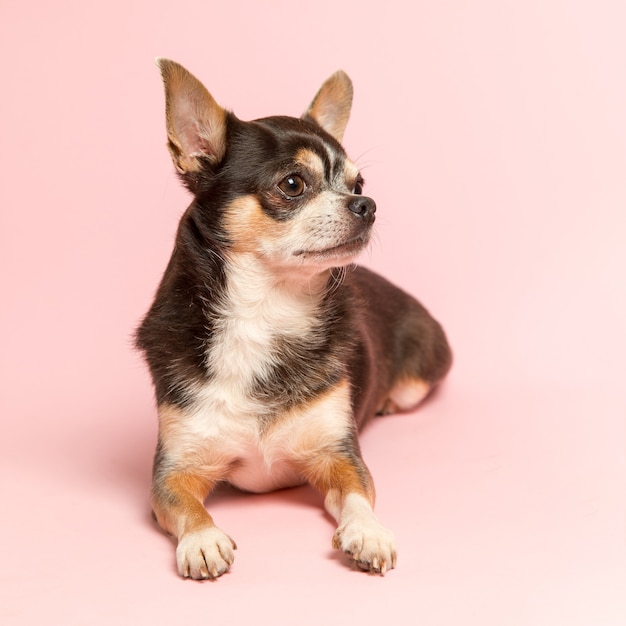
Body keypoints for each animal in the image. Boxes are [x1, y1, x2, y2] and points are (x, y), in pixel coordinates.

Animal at [135, 59, 448, 580]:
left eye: (358, 185)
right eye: (292, 184)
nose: (368, 204)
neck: (267, 310)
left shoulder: (338, 455)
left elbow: (360, 494)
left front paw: (368, 532)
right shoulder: (174, 470)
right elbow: (186, 507)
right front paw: (202, 539)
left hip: (417, 377)